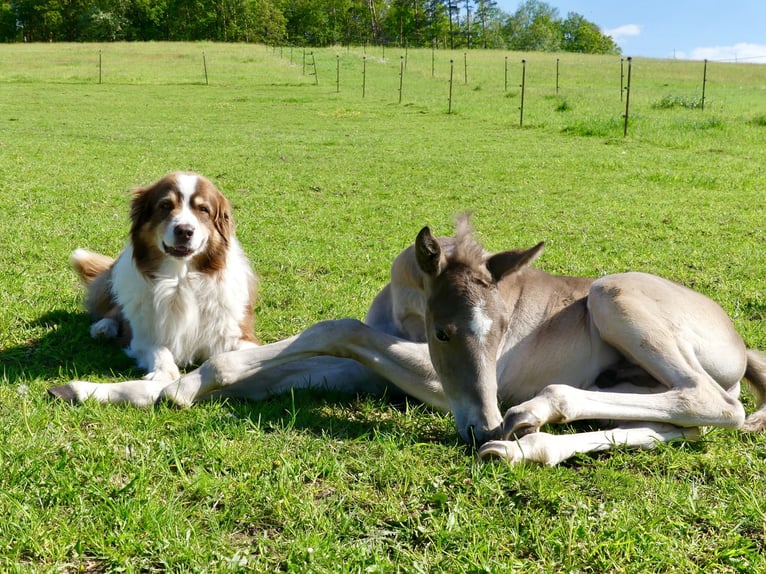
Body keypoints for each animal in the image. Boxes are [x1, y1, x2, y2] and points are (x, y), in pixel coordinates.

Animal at [72, 171, 258, 388]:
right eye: (166, 205)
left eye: (203, 209)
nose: (184, 231)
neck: (180, 281)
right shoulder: (142, 335)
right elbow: (159, 349)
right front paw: (163, 373)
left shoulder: (239, 335)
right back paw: (103, 327)